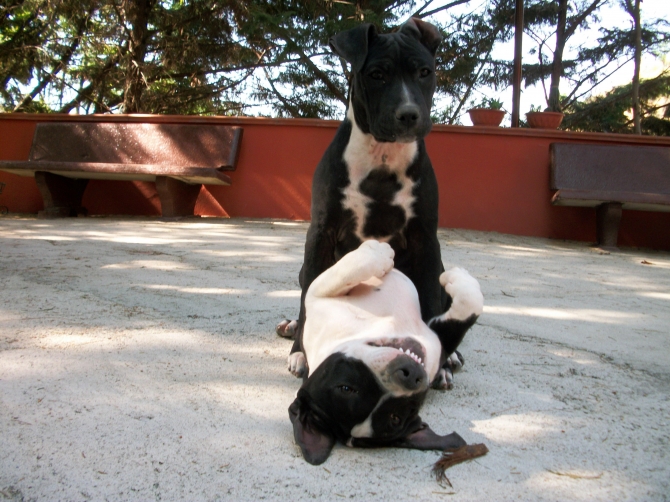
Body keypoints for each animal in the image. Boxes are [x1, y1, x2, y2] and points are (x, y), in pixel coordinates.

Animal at [276, 19, 484, 464]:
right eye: (376, 74)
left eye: (424, 72)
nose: (409, 115)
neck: (383, 158)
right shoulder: (321, 233)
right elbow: (310, 297)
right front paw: (300, 346)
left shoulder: (425, 239)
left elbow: (431, 297)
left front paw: (443, 360)